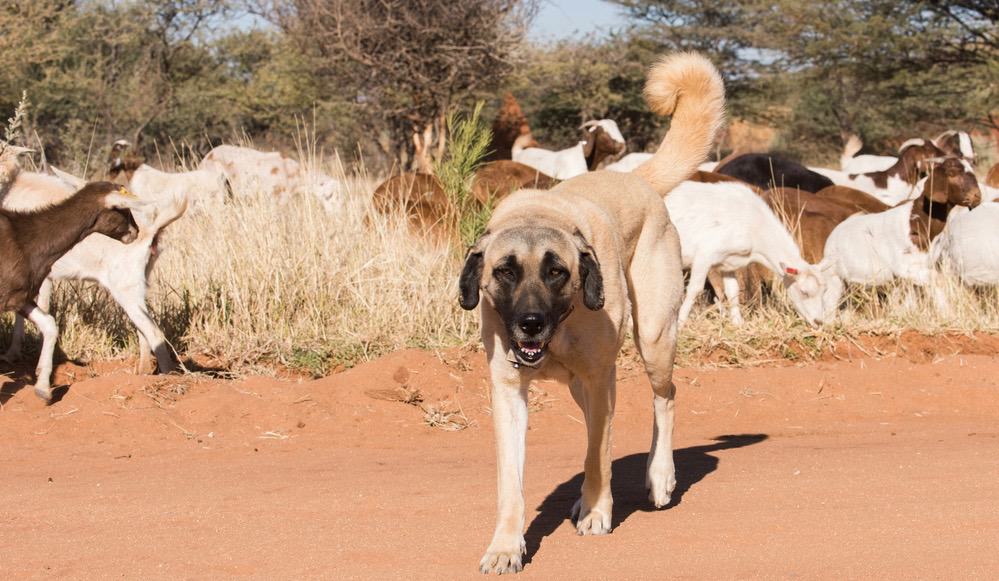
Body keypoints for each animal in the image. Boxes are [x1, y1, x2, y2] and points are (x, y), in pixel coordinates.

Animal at [460, 52, 728, 572]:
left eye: (556, 272)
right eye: (504, 271)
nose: (530, 324)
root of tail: (633, 177)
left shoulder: (601, 378)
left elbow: (597, 455)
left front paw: (598, 512)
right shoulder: (509, 394)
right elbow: (512, 484)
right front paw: (505, 546)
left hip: (653, 341)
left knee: (665, 397)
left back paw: (659, 477)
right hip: (585, 385)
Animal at [664, 180, 828, 326]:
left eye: (824, 292)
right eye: (804, 292)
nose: (818, 322)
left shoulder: (728, 263)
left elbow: (733, 292)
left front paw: (738, 323)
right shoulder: (705, 255)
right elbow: (695, 289)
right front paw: (680, 322)